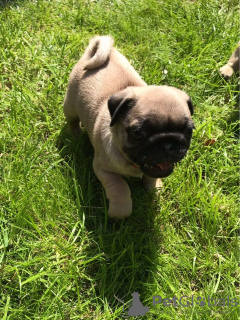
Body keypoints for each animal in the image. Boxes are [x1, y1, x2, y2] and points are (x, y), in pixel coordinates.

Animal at [63, 36, 195, 219]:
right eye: (138, 134)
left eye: (189, 131)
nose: (167, 145)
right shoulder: (104, 169)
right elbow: (121, 187)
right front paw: (120, 212)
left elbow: (151, 178)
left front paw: (155, 189)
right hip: (70, 106)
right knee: (72, 120)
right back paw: (75, 134)